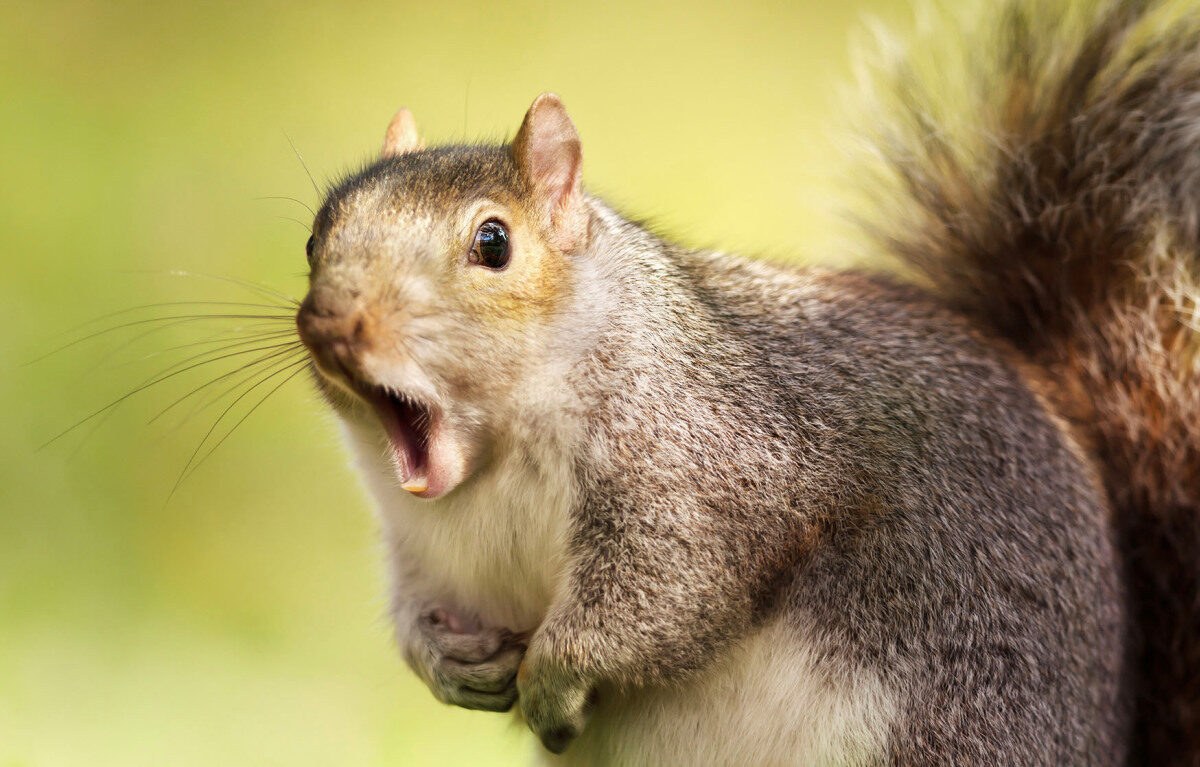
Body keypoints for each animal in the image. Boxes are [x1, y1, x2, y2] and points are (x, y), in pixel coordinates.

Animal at [293, 0, 1198, 763]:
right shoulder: (422, 546)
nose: (332, 321)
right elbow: (417, 608)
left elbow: (667, 591)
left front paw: (552, 677)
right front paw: (443, 658)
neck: (495, 460)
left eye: (493, 242)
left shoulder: (712, 463)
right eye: (315, 236)